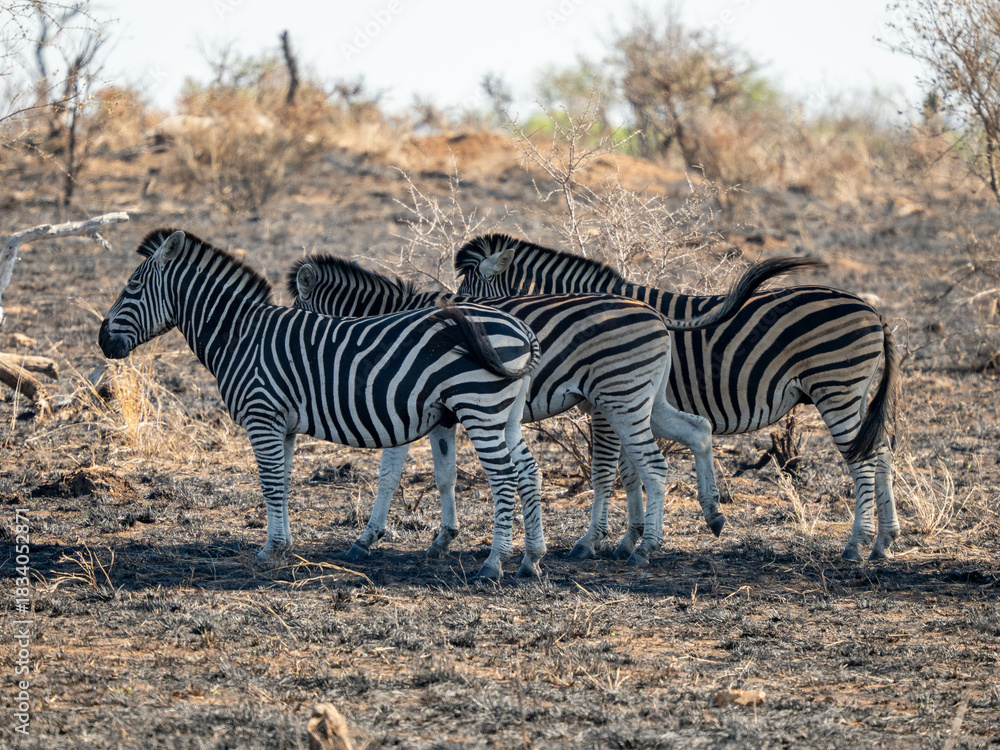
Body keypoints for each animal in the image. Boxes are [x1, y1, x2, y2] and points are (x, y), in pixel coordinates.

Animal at [98, 228, 547, 580]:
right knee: (528, 470)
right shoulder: (283, 425)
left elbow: (270, 483)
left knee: (504, 477)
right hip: (505, 414)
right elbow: (282, 483)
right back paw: (531, 559)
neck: (240, 336)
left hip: (479, 406)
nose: (102, 341)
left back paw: (494, 564)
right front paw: (282, 545)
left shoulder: (262, 417)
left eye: (131, 288)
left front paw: (269, 551)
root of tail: (521, 328)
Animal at [289, 253, 813, 566]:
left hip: (623, 395)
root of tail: (656, 313)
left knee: (655, 463)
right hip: (644, 397)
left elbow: (389, 473)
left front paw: (368, 537)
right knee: (698, 429)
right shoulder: (442, 414)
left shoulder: (411, 405)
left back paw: (643, 547)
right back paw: (711, 514)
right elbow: (442, 476)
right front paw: (443, 536)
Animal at [455, 233, 901, 561]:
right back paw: (882, 542)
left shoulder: (606, 402)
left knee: (862, 459)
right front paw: (630, 539)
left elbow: (606, 470)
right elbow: (630, 471)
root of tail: (871, 310)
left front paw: (593, 540)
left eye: (464, 299)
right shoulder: (621, 401)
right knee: (880, 452)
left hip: (836, 388)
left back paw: (856, 544)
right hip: (855, 394)